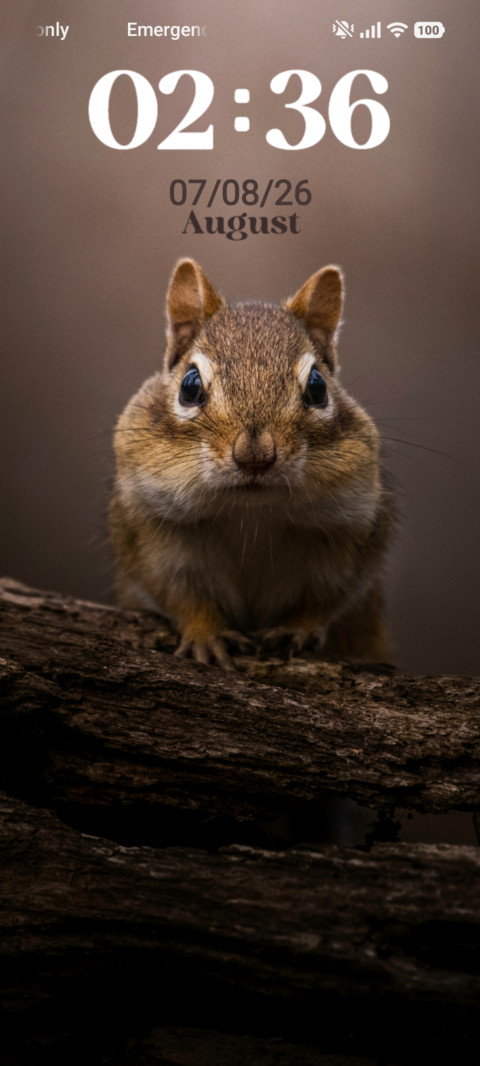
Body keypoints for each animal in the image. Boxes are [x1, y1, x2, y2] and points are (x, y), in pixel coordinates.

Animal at [110, 258, 394, 669]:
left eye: (318, 387)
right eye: (190, 386)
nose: (255, 457)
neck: (250, 513)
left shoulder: (354, 530)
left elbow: (328, 597)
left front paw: (298, 628)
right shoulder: (148, 529)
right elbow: (179, 595)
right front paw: (206, 635)